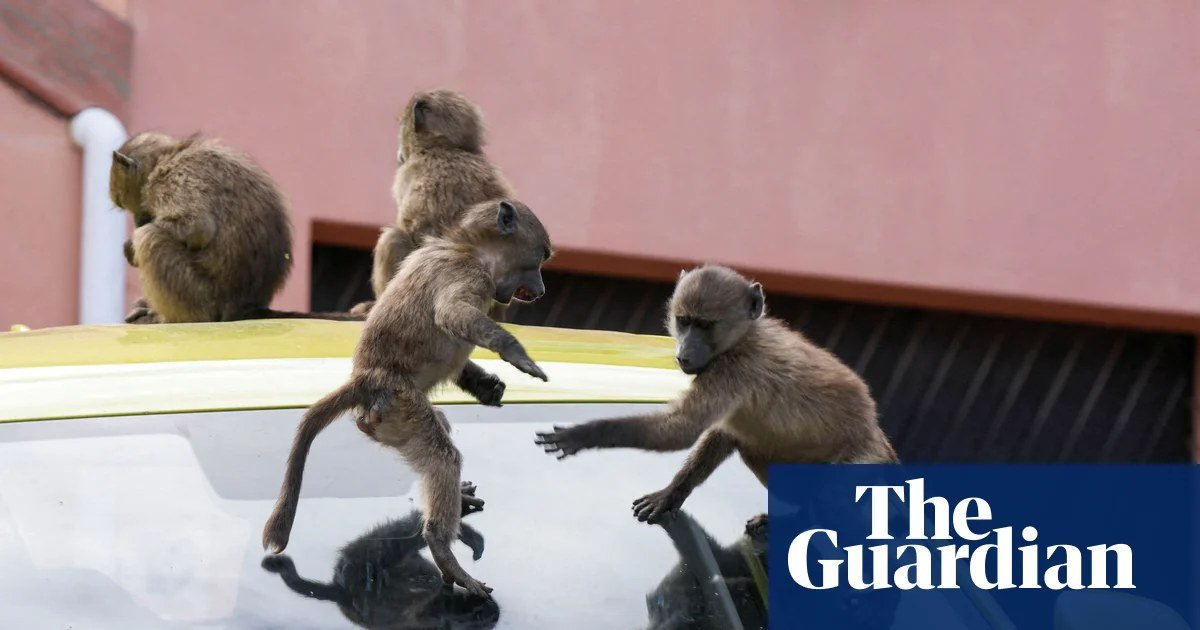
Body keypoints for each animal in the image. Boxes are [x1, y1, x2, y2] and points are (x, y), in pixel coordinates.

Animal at [111, 131, 362, 324]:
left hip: (203, 298)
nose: (137, 220)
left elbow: (197, 227)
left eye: (123, 202)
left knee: (150, 237)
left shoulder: (172, 177)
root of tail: (246, 307)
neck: (173, 153)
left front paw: (130, 246)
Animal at [261, 503, 499, 629]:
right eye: (476, 618)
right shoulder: (424, 617)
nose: (492, 611)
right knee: (399, 539)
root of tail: (339, 590)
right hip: (364, 559)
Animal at [264, 199, 553, 598]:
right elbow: (451, 313)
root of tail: (366, 379)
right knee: (443, 457)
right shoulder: (470, 274)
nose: (540, 290)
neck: (465, 247)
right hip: (398, 405)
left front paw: (486, 386)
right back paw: (441, 547)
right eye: (540, 258)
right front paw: (516, 353)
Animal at [536, 264, 897, 532]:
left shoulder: (734, 369)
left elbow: (681, 429)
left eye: (705, 325)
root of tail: (876, 434)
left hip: (861, 466)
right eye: (684, 322)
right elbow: (722, 434)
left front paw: (583, 434)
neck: (742, 338)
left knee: (831, 501)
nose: (684, 353)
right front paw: (672, 494)